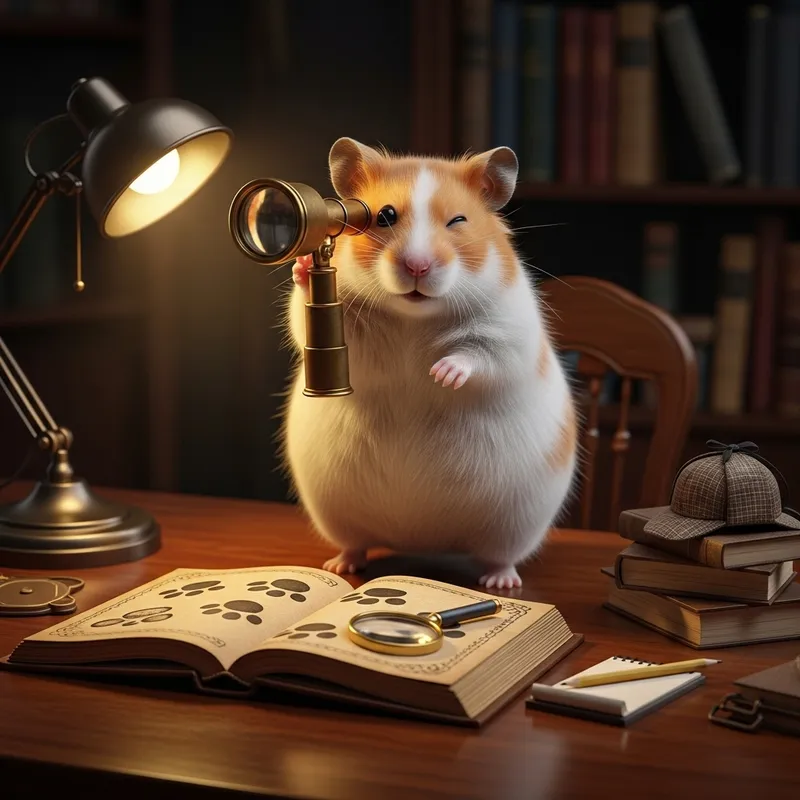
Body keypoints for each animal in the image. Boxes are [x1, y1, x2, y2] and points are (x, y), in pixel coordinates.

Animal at [282, 137, 577, 589]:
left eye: (458, 220)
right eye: (385, 216)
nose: (417, 267)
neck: (414, 317)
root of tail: (422, 539)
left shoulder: (509, 330)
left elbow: (479, 354)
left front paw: (440, 374)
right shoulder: (349, 337)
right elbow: (306, 319)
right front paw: (299, 267)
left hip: (517, 524)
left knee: (501, 556)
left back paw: (501, 582)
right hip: (334, 514)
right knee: (354, 544)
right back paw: (340, 566)